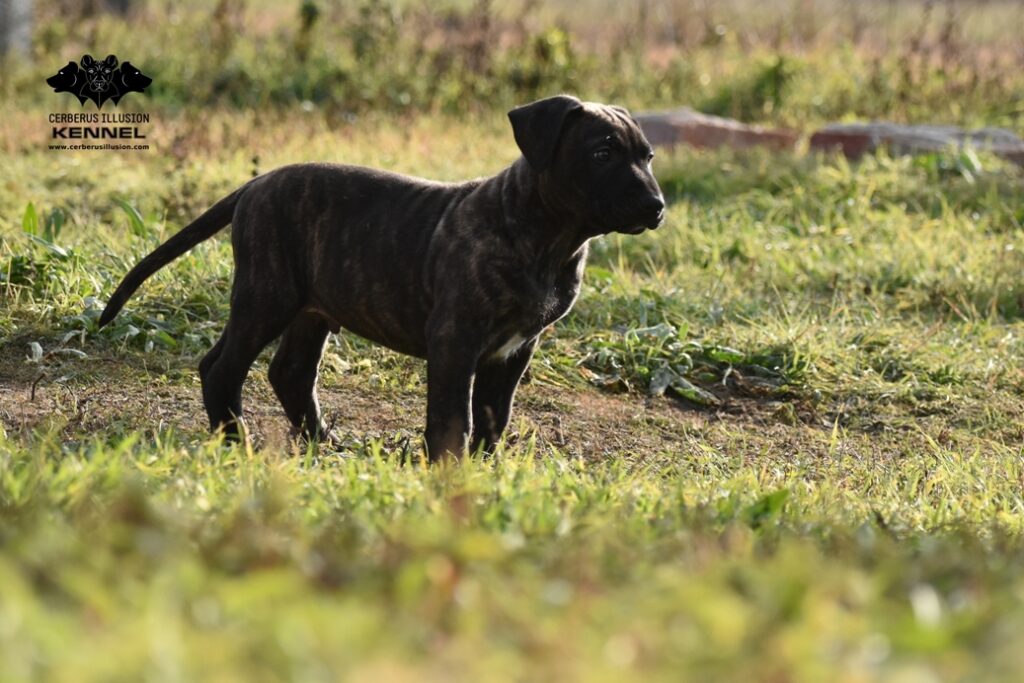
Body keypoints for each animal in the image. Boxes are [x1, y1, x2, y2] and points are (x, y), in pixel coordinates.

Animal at [99, 93, 667, 462]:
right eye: (602, 153)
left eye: (648, 156)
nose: (656, 205)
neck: (550, 237)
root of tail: (256, 184)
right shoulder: (455, 339)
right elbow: (453, 417)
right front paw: (449, 471)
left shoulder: (515, 350)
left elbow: (493, 415)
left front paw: (486, 469)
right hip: (267, 296)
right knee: (222, 368)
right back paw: (236, 443)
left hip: (312, 308)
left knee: (290, 372)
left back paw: (321, 443)